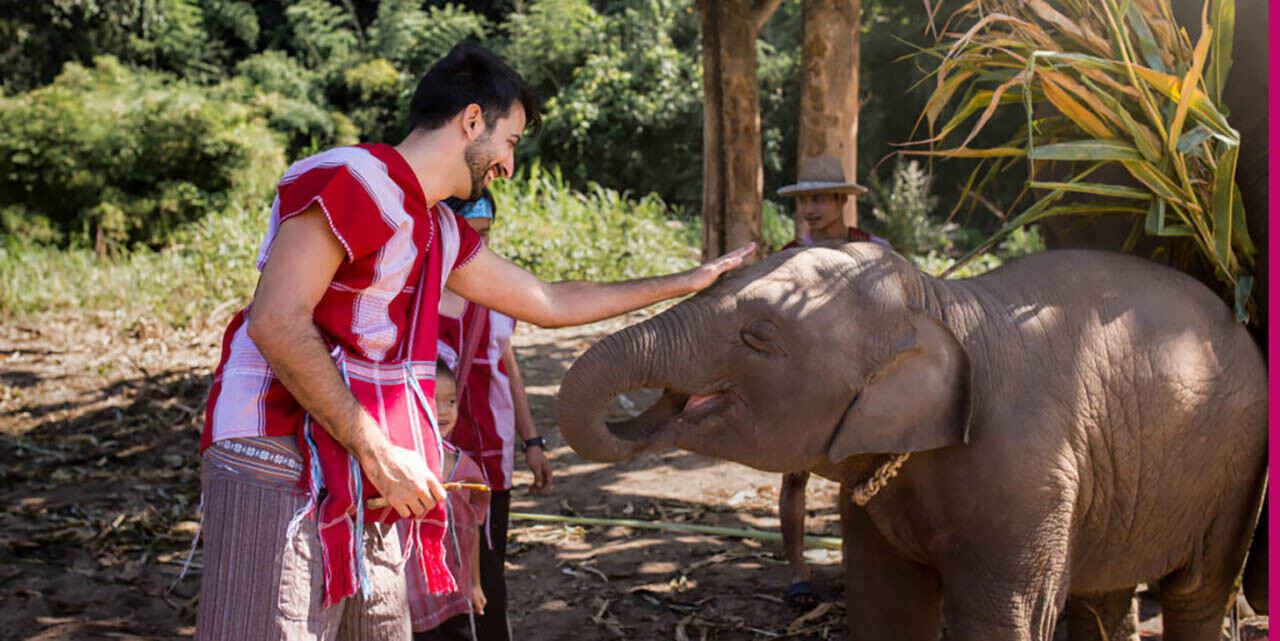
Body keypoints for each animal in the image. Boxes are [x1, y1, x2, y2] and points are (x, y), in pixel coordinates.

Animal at [558, 241, 1269, 637]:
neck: (938, 301)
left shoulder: (1028, 474)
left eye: (757, 336)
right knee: (1106, 595)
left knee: (1195, 594)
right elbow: (888, 612)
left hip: (1239, 467)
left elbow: (1006, 618)